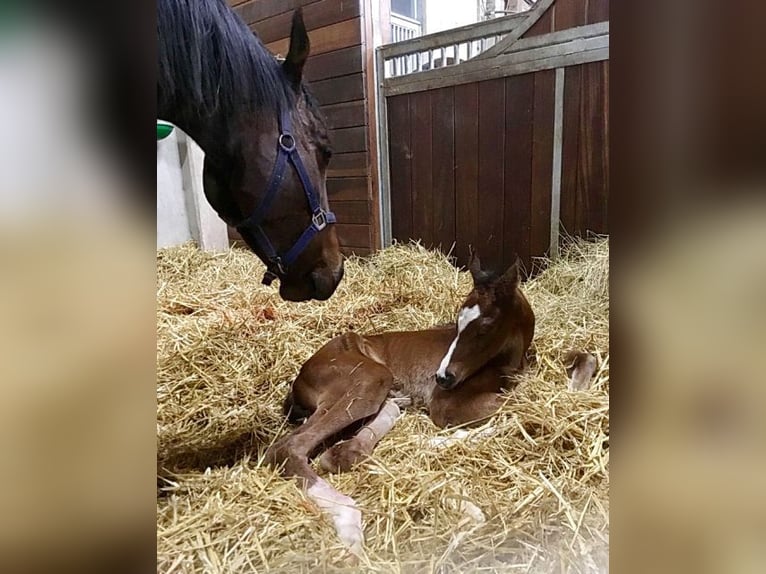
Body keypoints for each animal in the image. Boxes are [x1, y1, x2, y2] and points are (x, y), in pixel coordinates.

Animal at [268, 255, 536, 552]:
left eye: (486, 327)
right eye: (457, 324)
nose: (443, 376)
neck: (507, 362)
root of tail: (300, 378)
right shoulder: (445, 405)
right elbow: (516, 407)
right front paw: (436, 442)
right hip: (369, 377)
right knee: (287, 447)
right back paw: (349, 522)